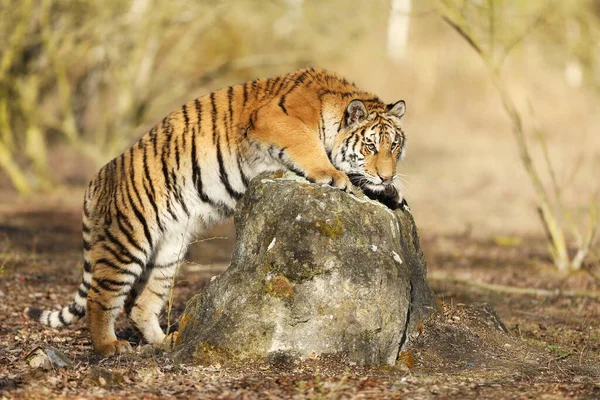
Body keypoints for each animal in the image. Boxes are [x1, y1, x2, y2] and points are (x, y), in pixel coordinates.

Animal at [25, 67, 406, 354]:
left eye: (395, 146)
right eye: (370, 145)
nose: (386, 174)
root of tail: (94, 181)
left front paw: (391, 192)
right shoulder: (275, 119)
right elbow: (307, 145)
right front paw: (334, 175)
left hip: (168, 251)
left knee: (141, 305)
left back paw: (166, 342)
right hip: (126, 242)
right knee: (100, 297)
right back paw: (108, 347)